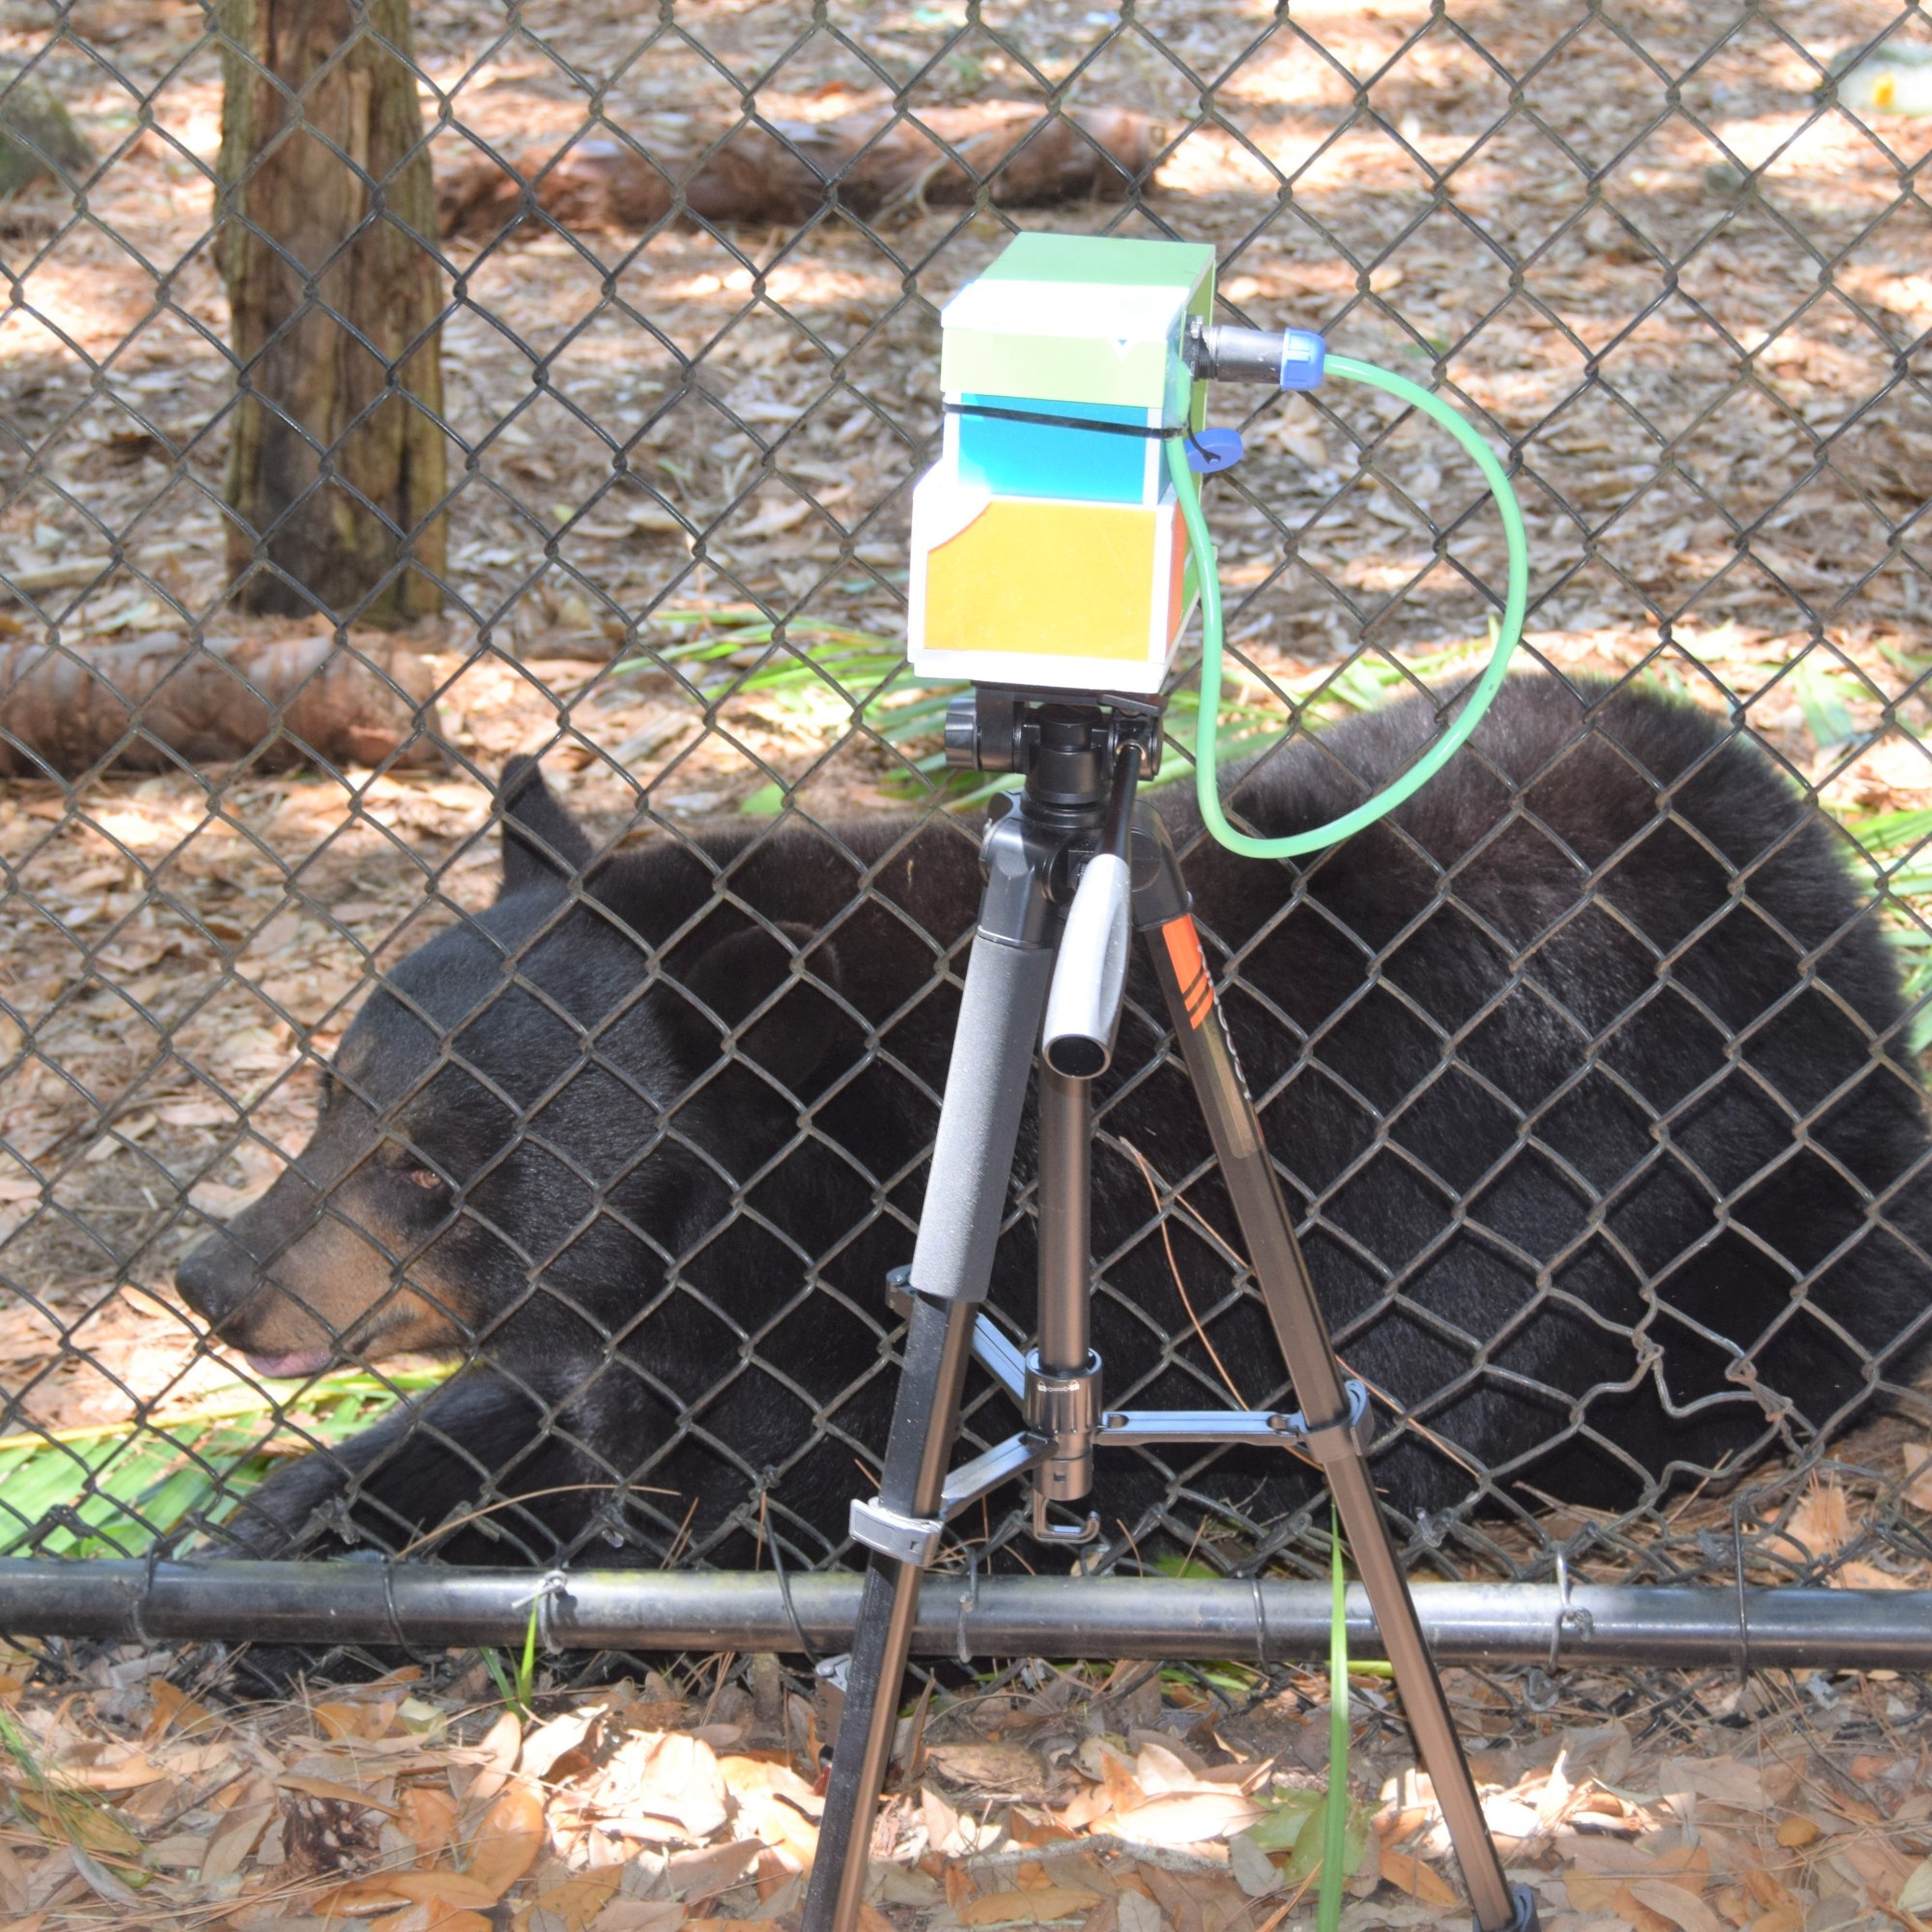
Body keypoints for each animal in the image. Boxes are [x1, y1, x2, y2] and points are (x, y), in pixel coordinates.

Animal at [175, 674, 1932, 1579]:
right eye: (332, 1090)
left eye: (425, 1167)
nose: (217, 1279)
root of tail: (1847, 932)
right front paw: (287, 1510)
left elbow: (750, 1495)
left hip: (1698, 1211)